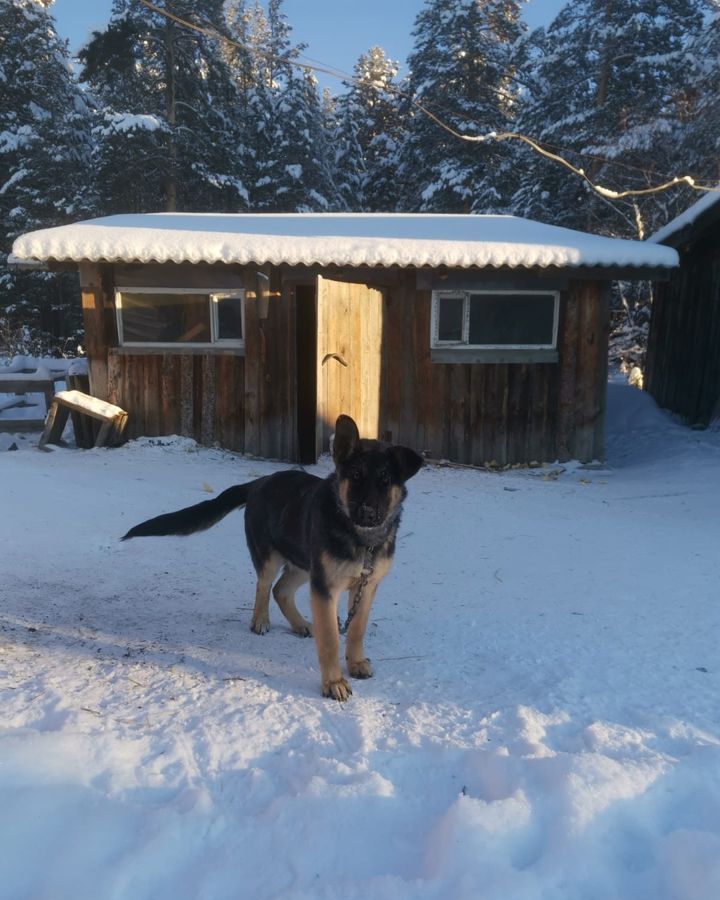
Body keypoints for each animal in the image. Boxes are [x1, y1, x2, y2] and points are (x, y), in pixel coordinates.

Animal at [120, 414, 420, 704]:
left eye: (385, 480)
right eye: (355, 475)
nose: (367, 513)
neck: (361, 539)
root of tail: (258, 482)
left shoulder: (365, 587)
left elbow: (356, 629)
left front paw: (356, 663)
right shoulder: (325, 588)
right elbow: (330, 640)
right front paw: (333, 683)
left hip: (303, 562)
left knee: (281, 590)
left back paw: (301, 625)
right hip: (272, 558)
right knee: (264, 586)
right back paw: (261, 621)